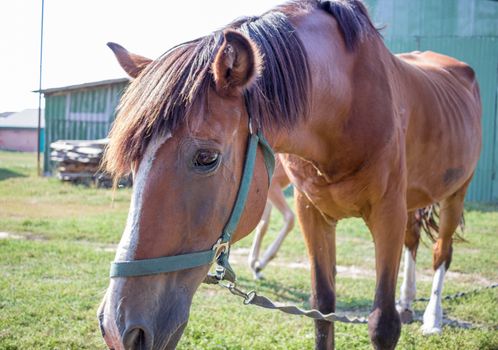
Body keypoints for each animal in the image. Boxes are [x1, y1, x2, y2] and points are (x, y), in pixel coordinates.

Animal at [97, 1, 478, 348]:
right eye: (135, 164)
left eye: (206, 158)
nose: (117, 326)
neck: (347, 105)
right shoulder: (313, 214)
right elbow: (323, 312)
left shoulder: (388, 214)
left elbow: (382, 323)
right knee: (413, 242)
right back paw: (408, 302)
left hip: (455, 195)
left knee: (441, 253)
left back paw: (432, 317)